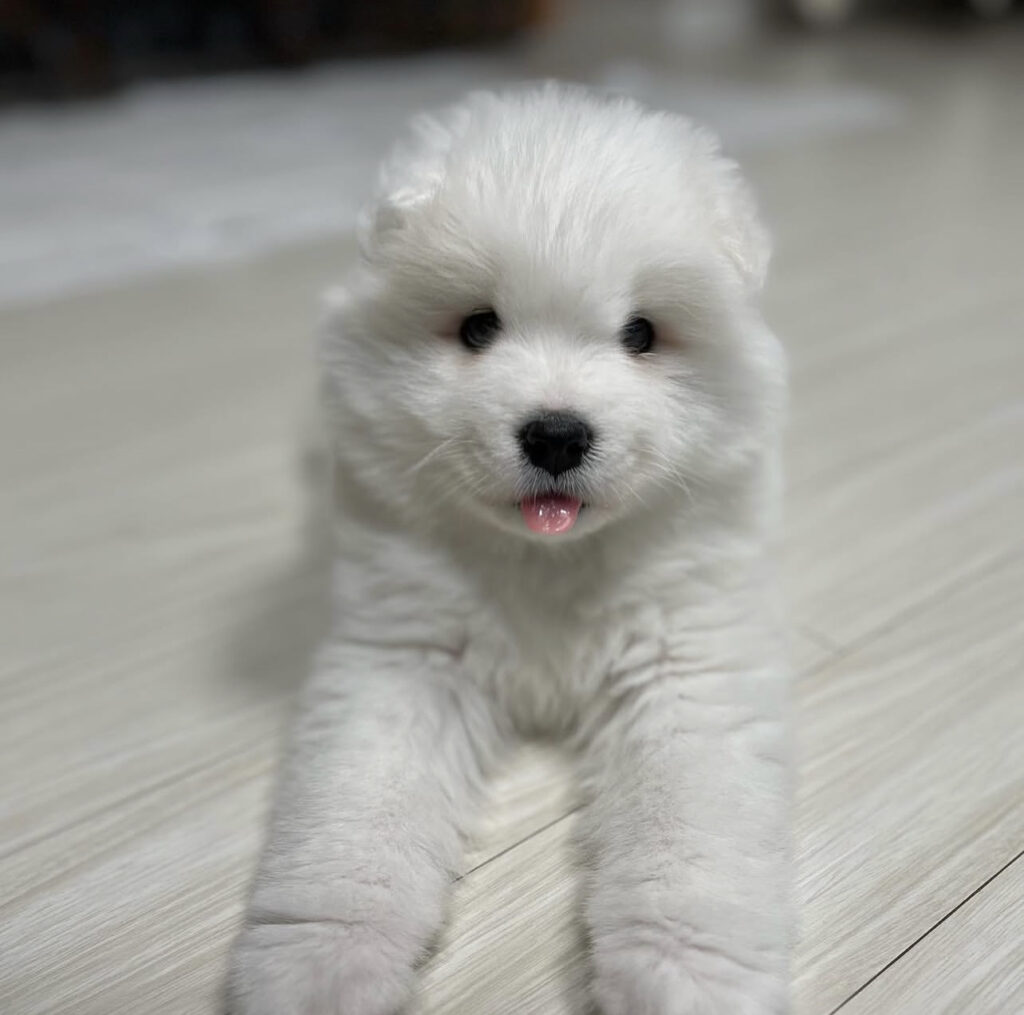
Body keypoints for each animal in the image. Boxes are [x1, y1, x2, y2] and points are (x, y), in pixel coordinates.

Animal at [228, 82, 792, 1015]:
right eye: (477, 327)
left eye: (641, 334)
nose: (557, 434)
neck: (547, 560)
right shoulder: (407, 656)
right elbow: (355, 819)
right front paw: (322, 969)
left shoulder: (683, 661)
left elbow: (688, 836)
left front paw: (681, 977)